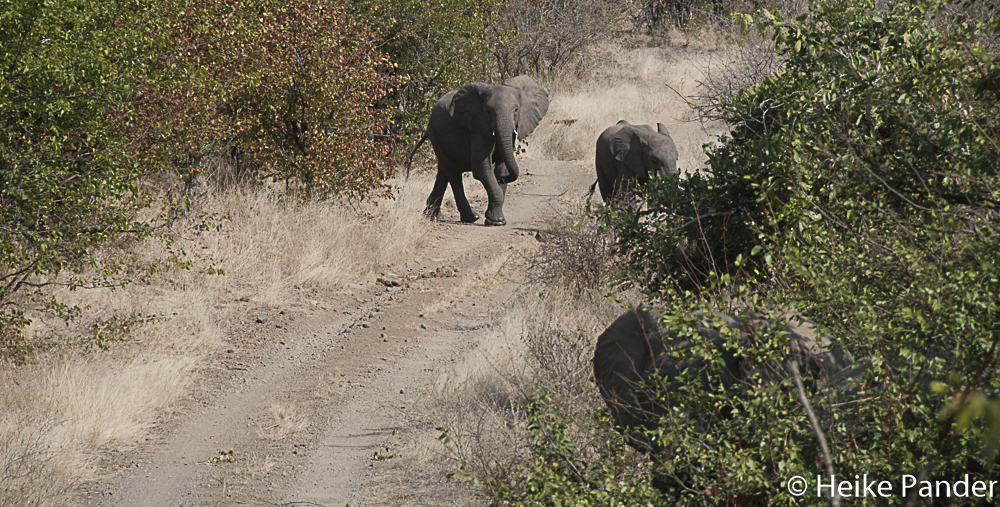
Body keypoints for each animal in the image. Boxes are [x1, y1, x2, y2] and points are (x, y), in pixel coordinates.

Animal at [408, 76, 548, 226]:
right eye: (487, 111)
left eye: (516, 110)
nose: (503, 180)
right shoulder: (478, 128)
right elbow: (481, 168)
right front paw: (496, 222)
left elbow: (502, 166)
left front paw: (497, 218)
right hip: (435, 133)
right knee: (453, 174)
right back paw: (471, 217)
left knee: (443, 170)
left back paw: (433, 216)